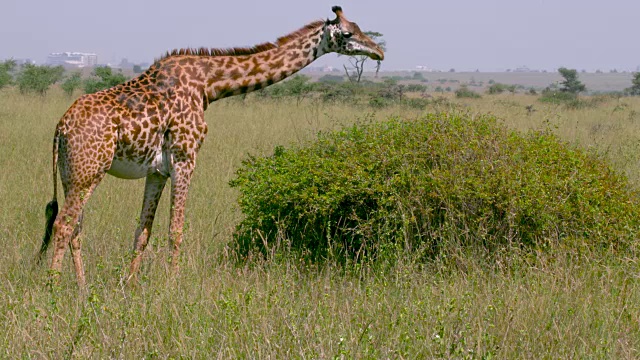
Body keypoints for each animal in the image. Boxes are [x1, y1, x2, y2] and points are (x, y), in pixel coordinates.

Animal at [40, 4, 384, 286]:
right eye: (349, 32)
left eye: (360, 27)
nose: (379, 50)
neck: (209, 84)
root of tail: (60, 128)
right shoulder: (185, 157)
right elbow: (175, 230)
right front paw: (172, 286)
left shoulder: (157, 171)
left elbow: (143, 231)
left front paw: (128, 285)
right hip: (89, 172)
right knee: (63, 225)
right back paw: (53, 287)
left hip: (75, 174)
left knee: (75, 228)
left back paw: (82, 288)